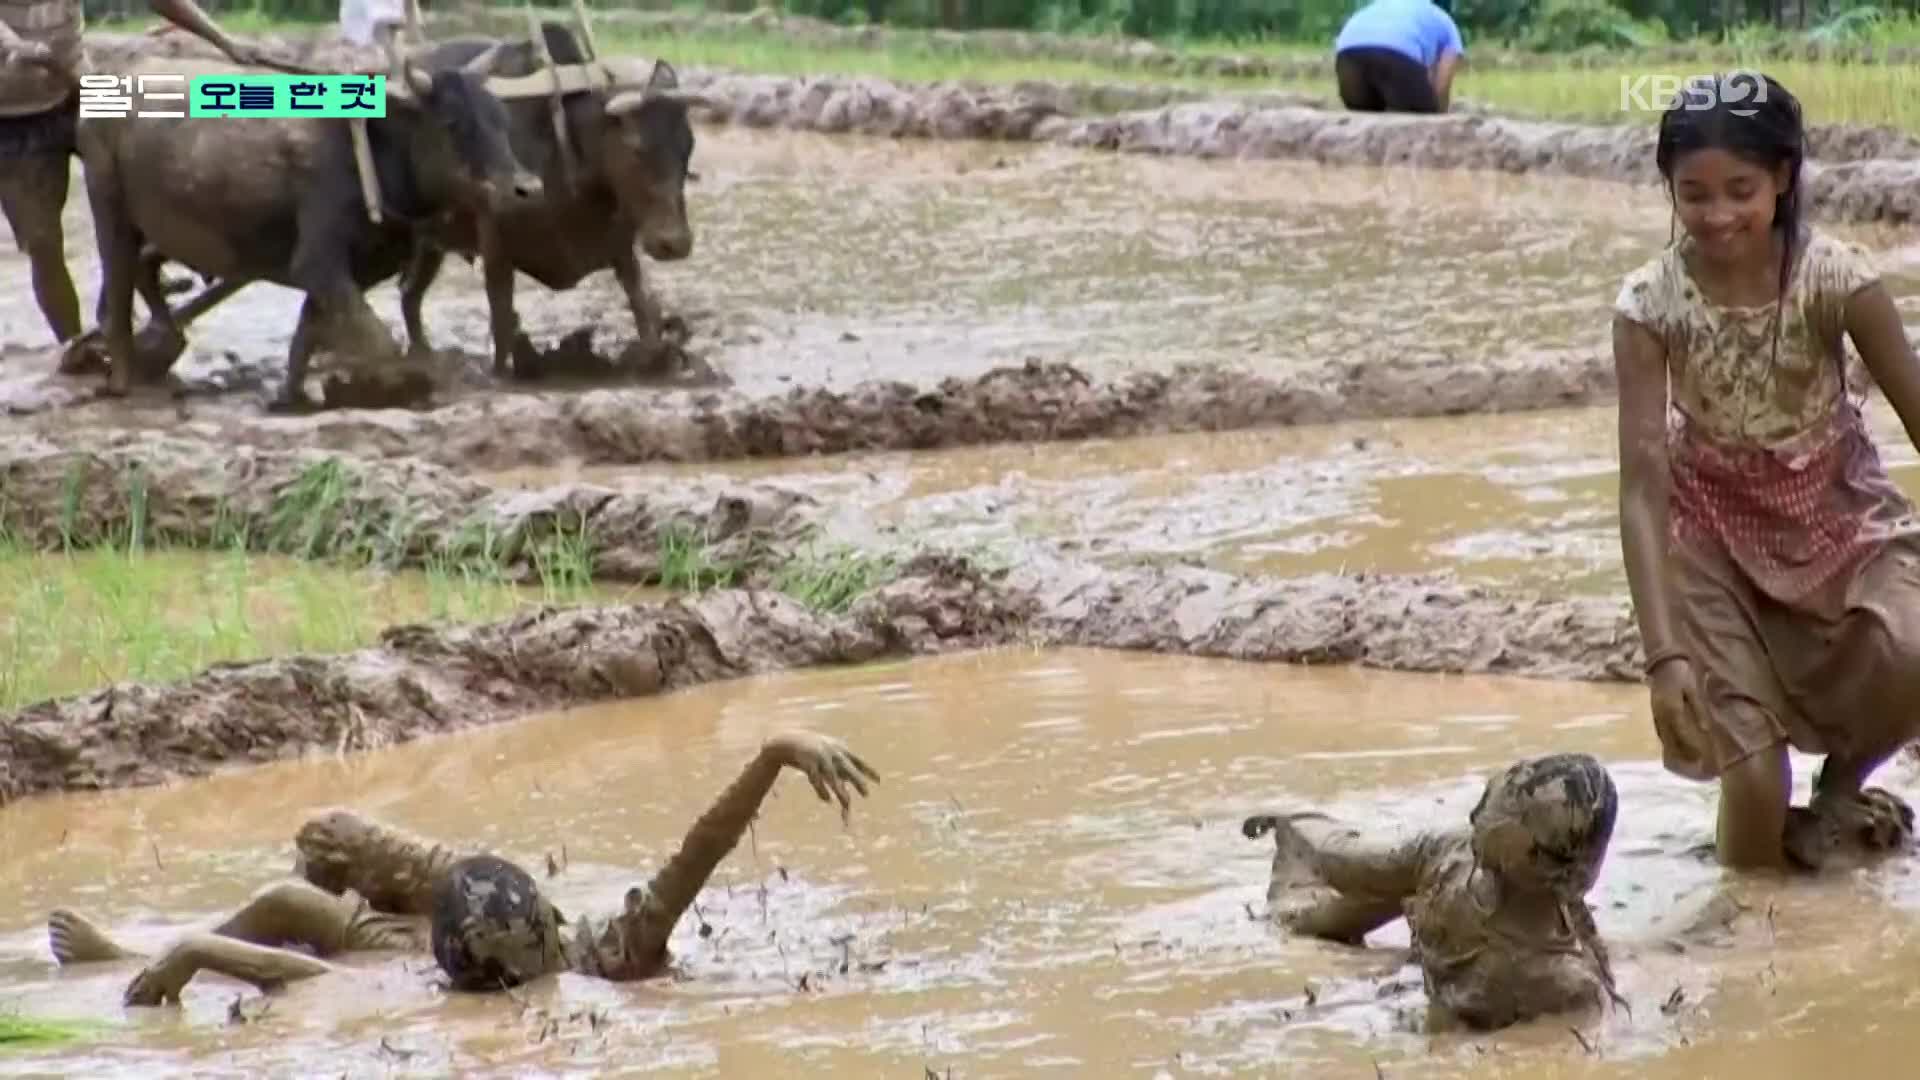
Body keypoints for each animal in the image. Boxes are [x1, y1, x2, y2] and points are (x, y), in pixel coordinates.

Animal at [74, 49, 541, 407]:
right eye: (452, 123)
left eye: (501, 118)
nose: (527, 189)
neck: (371, 151)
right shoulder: (318, 262)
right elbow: (378, 339)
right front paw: (404, 386)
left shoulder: (355, 272)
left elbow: (309, 330)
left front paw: (291, 397)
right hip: (107, 204)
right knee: (117, 291)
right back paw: (120, 380)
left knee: (141, 275)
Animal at [397, 23, 698, 376]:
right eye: (636, 148)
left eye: (688, 146)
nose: (674, 243)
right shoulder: (496, 249)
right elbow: (502, 326)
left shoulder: (623, 249)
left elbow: (644, 309)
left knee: (409, 295)